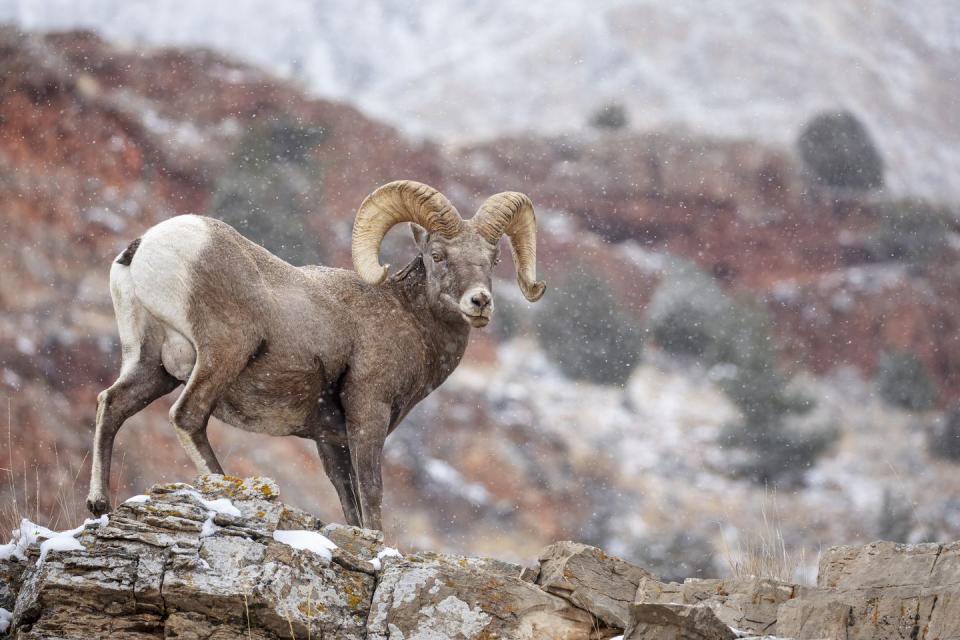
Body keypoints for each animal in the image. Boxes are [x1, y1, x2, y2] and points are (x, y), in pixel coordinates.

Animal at [88, 180, 548, 528]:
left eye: (493, 259)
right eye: (437, 255)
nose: (480, 302)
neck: (404, 315)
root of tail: (145, 247)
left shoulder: (330, 439)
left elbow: (348, 500)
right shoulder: (368, 414)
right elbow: (371, 492)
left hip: (152, 365)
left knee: (112, 404)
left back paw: (98, 505)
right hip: (223, 354)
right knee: (187, 417)